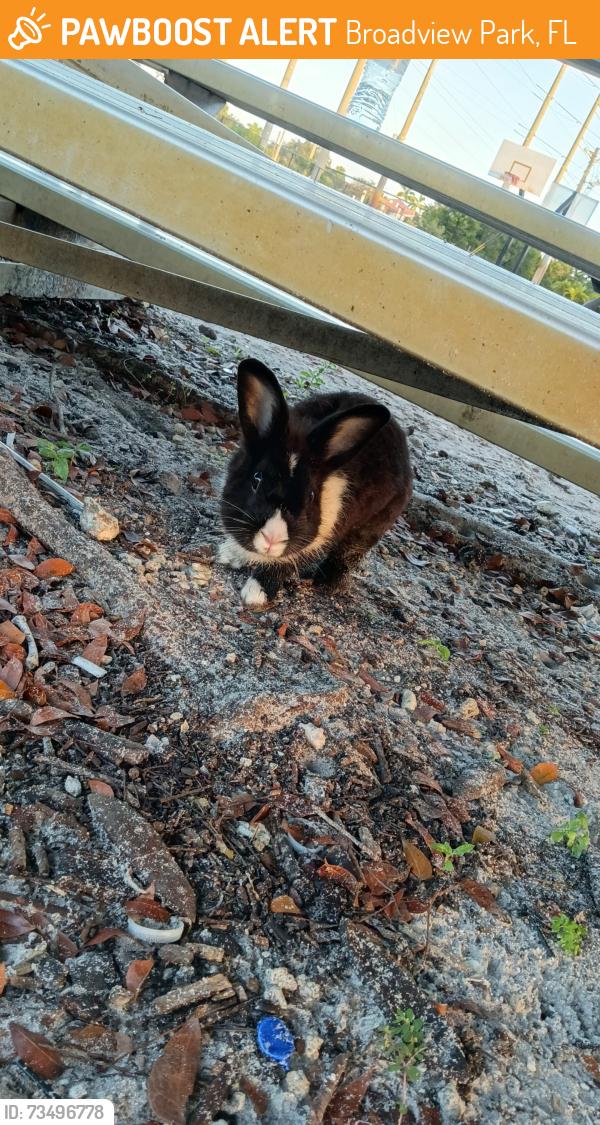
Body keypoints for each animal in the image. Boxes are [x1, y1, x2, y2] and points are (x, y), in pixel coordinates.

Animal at [218, 358, 412, 607]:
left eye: (311, 496)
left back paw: (323, 582)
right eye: (256, 479)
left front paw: (257, 592)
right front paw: (230, 553)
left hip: (370, 527)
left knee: (348, 555)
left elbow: (286, 562)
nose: (272, 539)